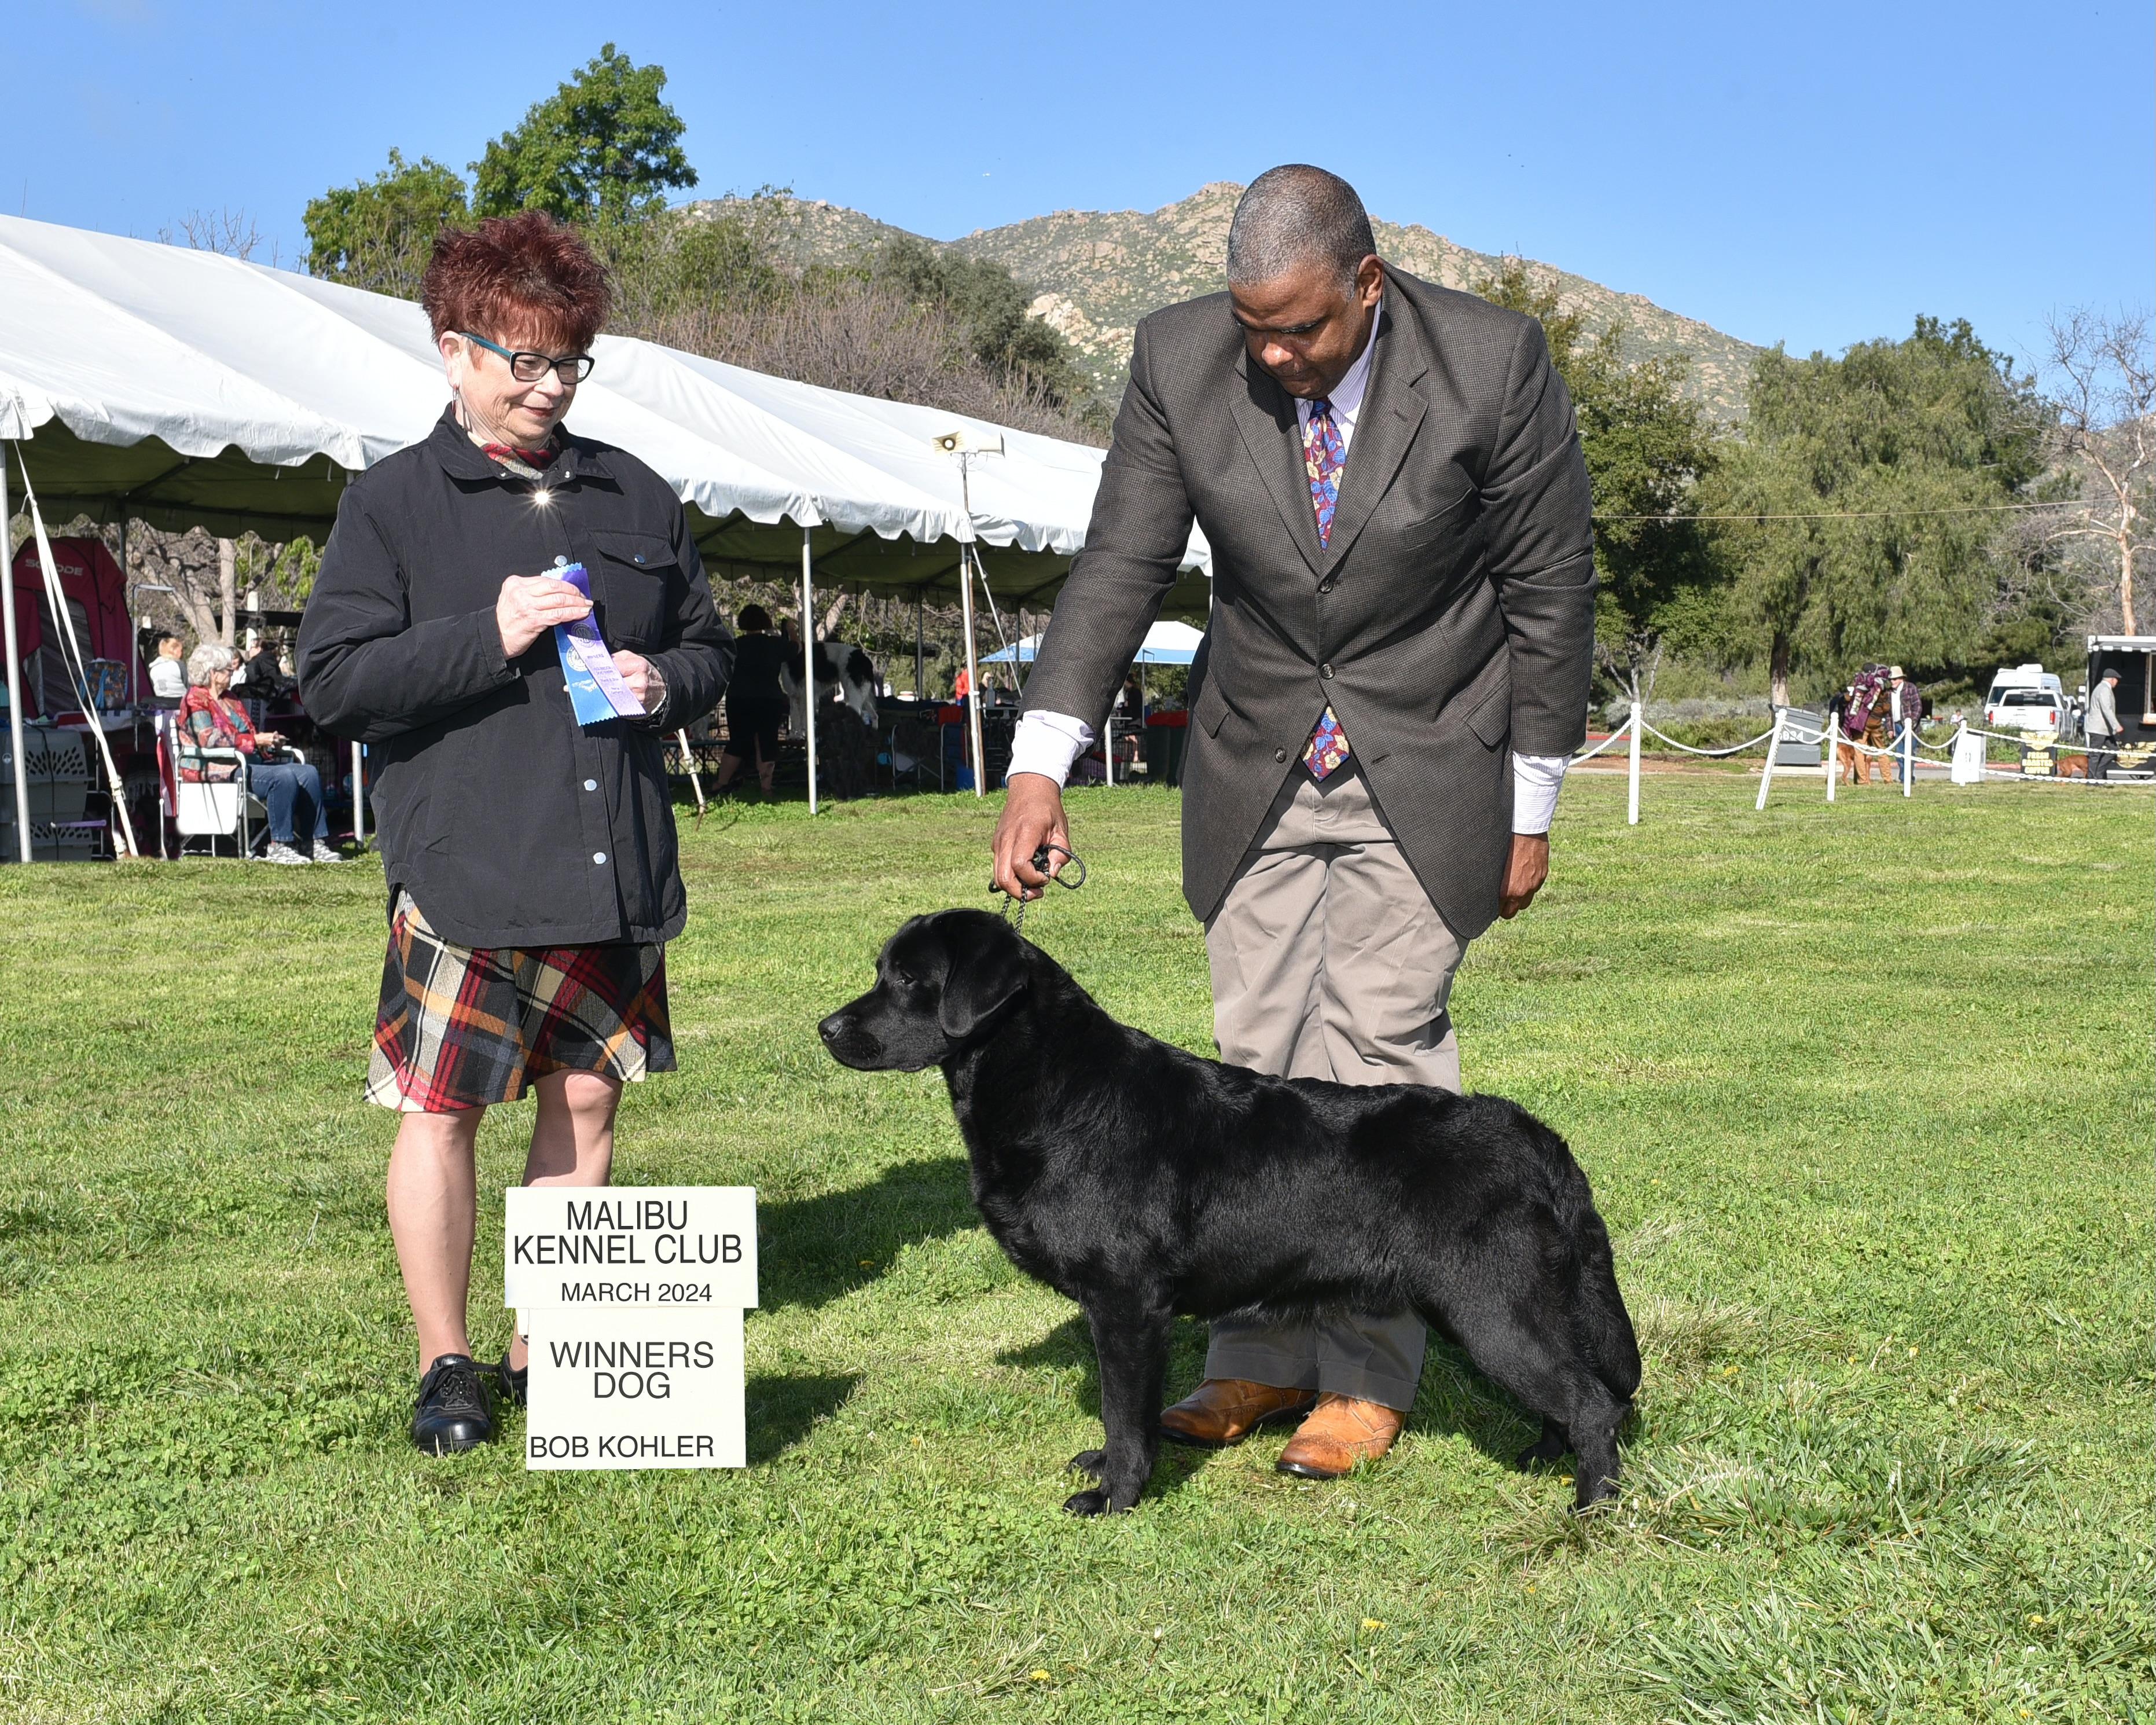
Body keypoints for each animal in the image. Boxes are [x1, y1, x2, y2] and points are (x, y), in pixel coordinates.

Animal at [819, 909, 1641, 1516]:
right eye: (880, 972)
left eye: (909, 979)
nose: (826, 1027)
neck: (1057, 1087)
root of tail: (1538, 1139)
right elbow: (1121, 1413)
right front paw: (1105, 1466)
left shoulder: (1125, 1302)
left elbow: (1124, 1411)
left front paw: (1115, 1494)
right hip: (1498, 1306)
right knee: (1571, 1394)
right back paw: (1543, 1459)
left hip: (1490, 1306)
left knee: (1595, 1402)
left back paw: (1590, 1507)